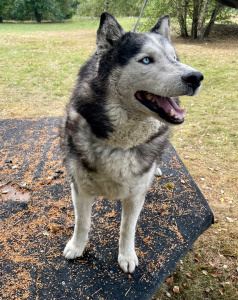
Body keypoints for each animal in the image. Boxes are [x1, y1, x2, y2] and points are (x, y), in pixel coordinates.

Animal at [59, 12, 203, 274]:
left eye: (174, 58)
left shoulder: (135, 194)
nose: (196, 77)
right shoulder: (80, 188)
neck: (120, 145)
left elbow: (127, 228)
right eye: (146, 60)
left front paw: (126, 256)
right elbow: (82, 222)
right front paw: (77, 246)